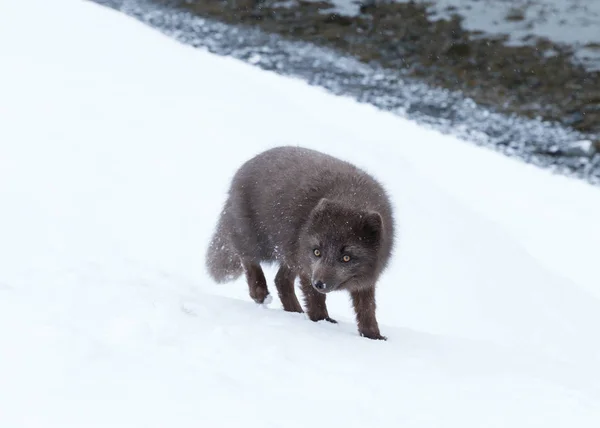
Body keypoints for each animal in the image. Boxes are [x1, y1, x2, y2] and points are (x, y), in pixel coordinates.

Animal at [204, 145, 396, 340]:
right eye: (317, 252)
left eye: (346, 257)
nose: (319, 284)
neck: (351, 196)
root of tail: (245, 166)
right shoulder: (307, 267)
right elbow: (315, 299)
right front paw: (322, 321)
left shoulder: (366, 278)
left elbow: (367, 308)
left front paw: (373, 336)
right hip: (257, 240)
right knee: (247, 257)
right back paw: (260, 293)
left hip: (290, 254)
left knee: (280, 280)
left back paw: (294, 311)